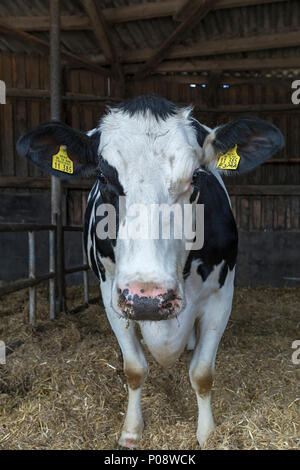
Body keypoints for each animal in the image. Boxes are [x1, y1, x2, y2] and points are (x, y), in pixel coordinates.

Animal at [16, 94, 284, 448]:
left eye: (196, 176)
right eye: (103, 177)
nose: (148, 298)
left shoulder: (221, 296)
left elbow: (202, 373)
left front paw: (208, 434)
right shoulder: (113, 295)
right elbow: (134, 369)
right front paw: (131, 430)